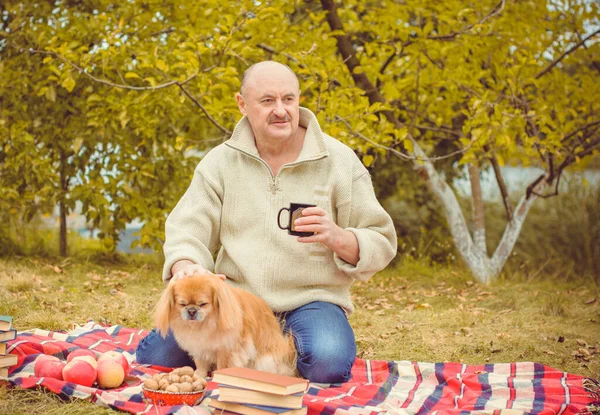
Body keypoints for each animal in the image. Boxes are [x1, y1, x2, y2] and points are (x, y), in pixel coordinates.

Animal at [154, 274, 296, 378]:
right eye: (182, 304)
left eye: (203, 304)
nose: (192, 311)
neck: (204, 324)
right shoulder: (198, 347)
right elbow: (201, 364)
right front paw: (199, 375)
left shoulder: (225, 349)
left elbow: (223, 365)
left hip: (265, 360)